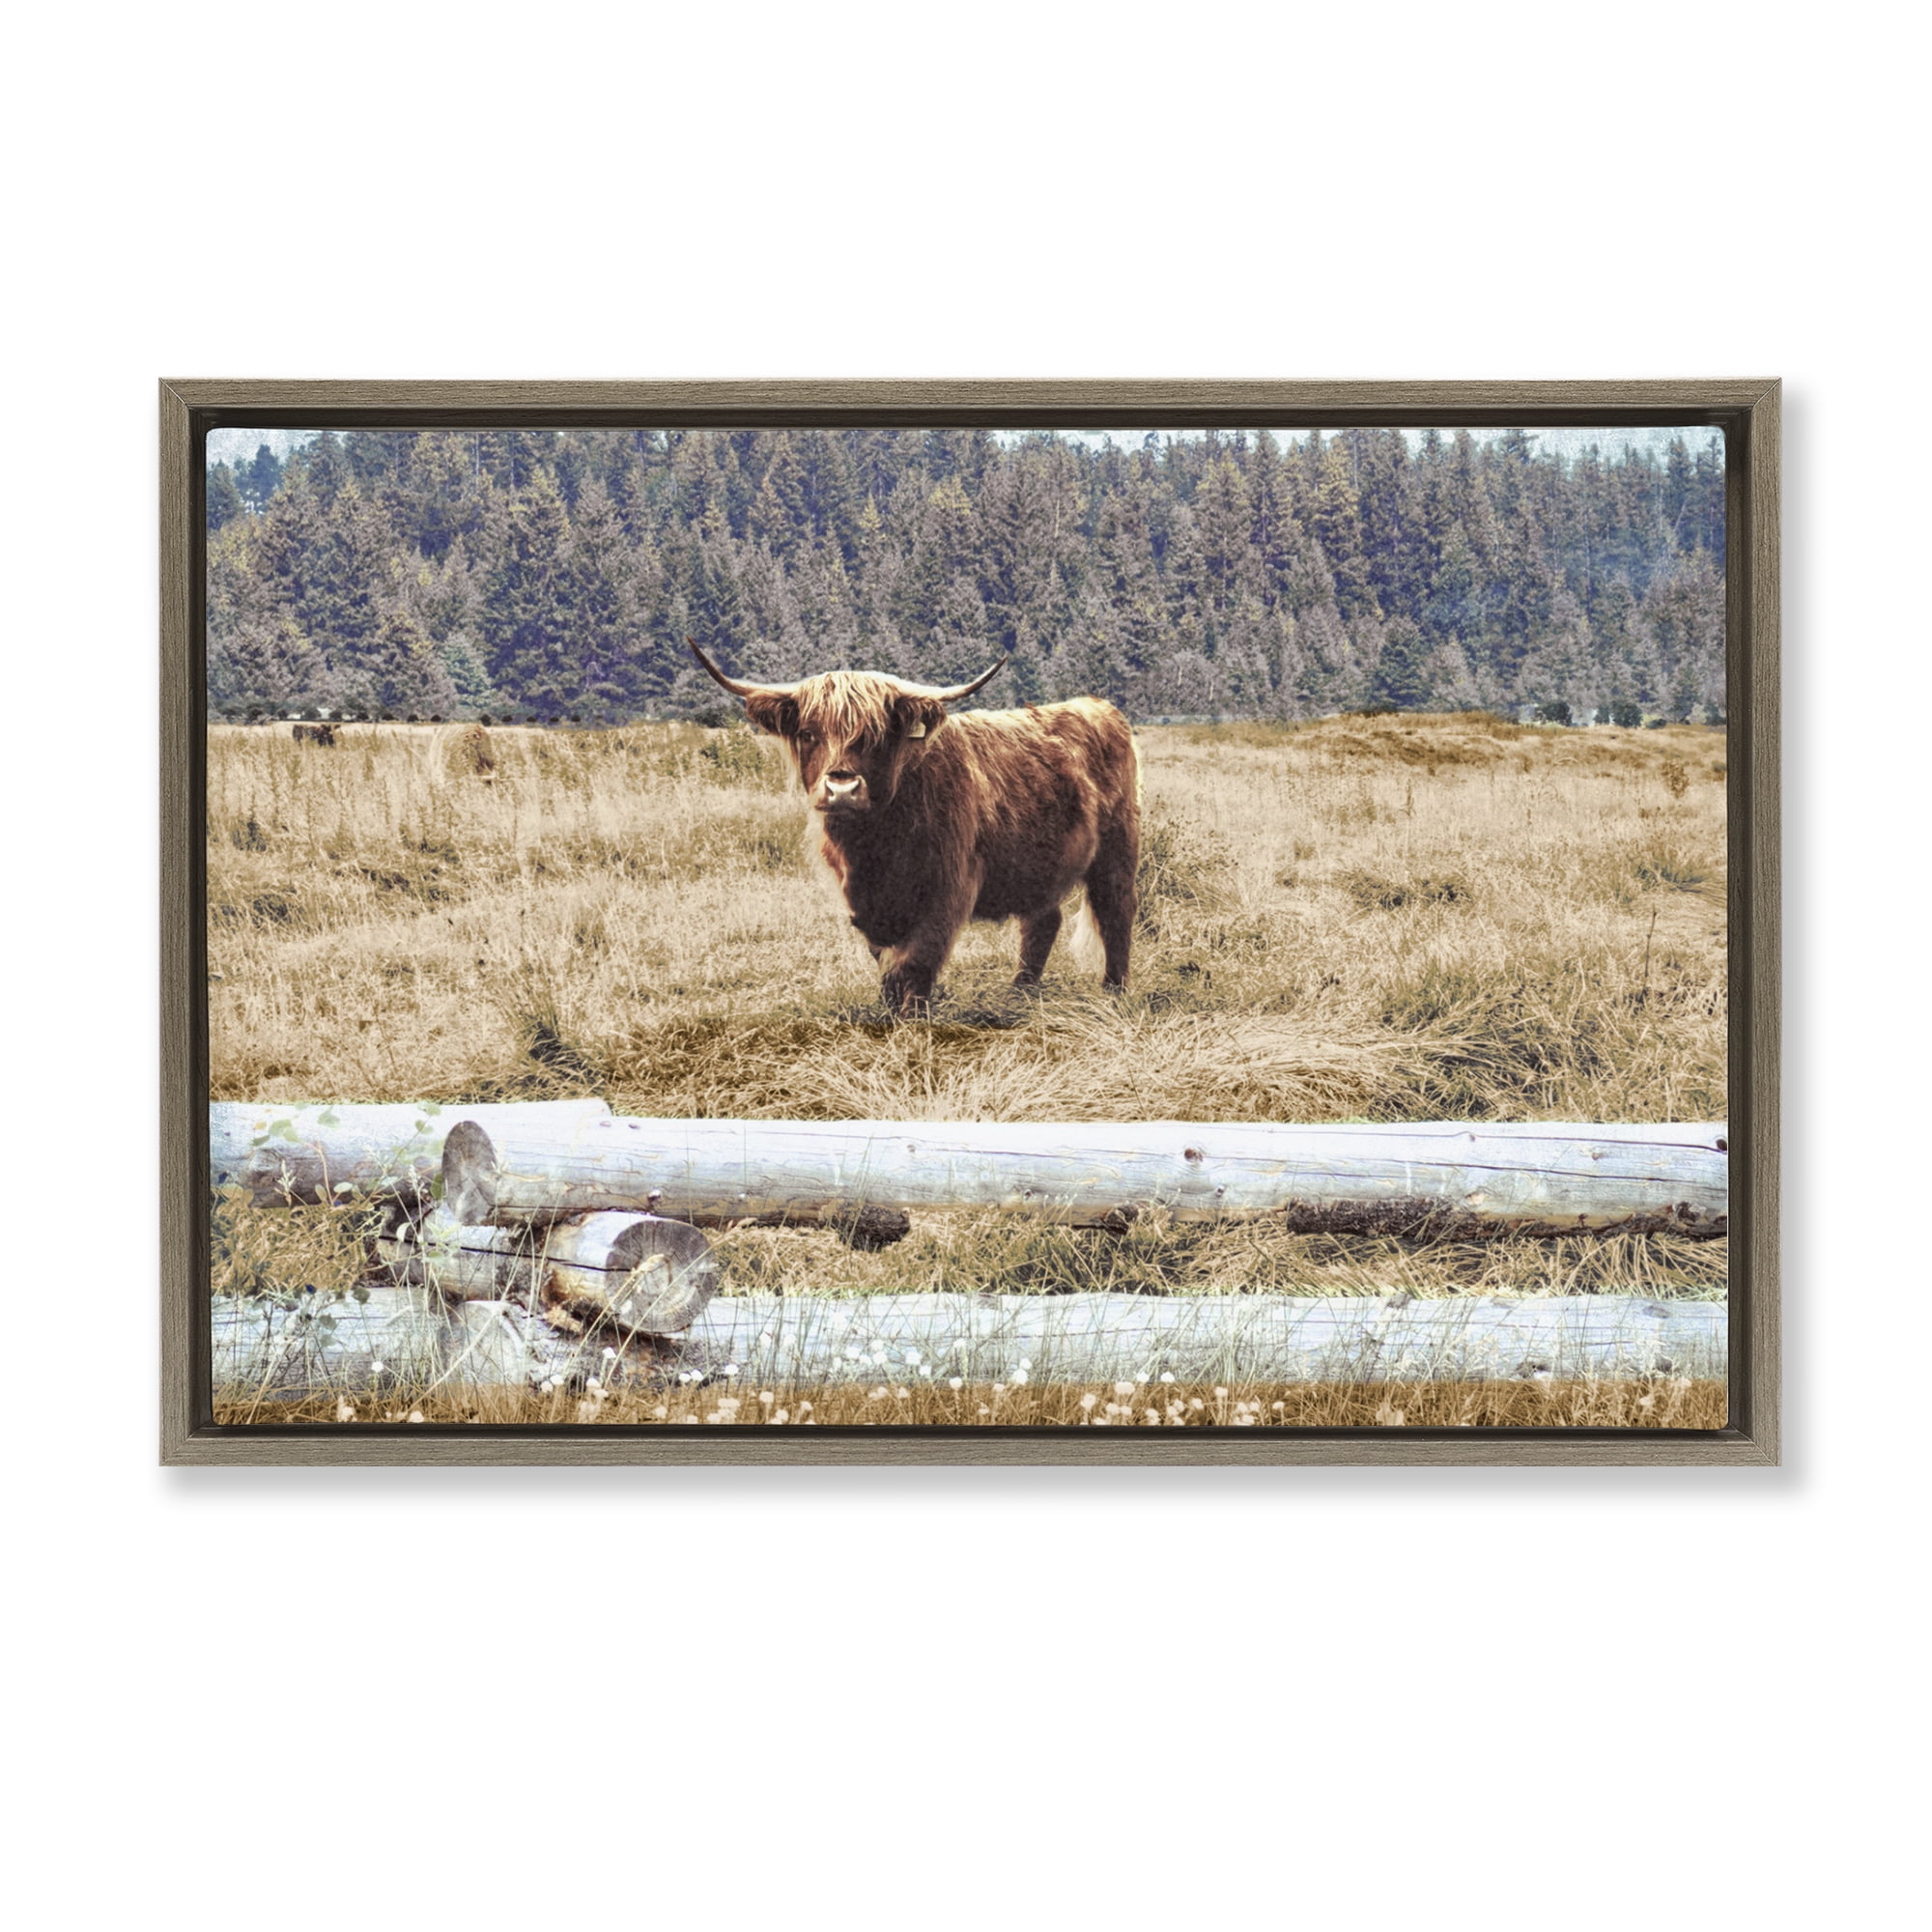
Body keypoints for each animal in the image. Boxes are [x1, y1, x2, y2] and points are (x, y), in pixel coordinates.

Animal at [689, 639, 1139, 1015]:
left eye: (876, 736)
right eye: (807, 733)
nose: (842, 789)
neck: (874, 849)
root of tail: (1099, 706)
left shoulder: (948, 889)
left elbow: (917, 961)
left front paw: (913, 1019)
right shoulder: (863, 902)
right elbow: (886, 963)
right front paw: (890, 1013)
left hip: (1117, 849)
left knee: (1115, 912)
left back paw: (1113, 992)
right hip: (1040, 863)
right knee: (1042, 922)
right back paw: (1020, 993)